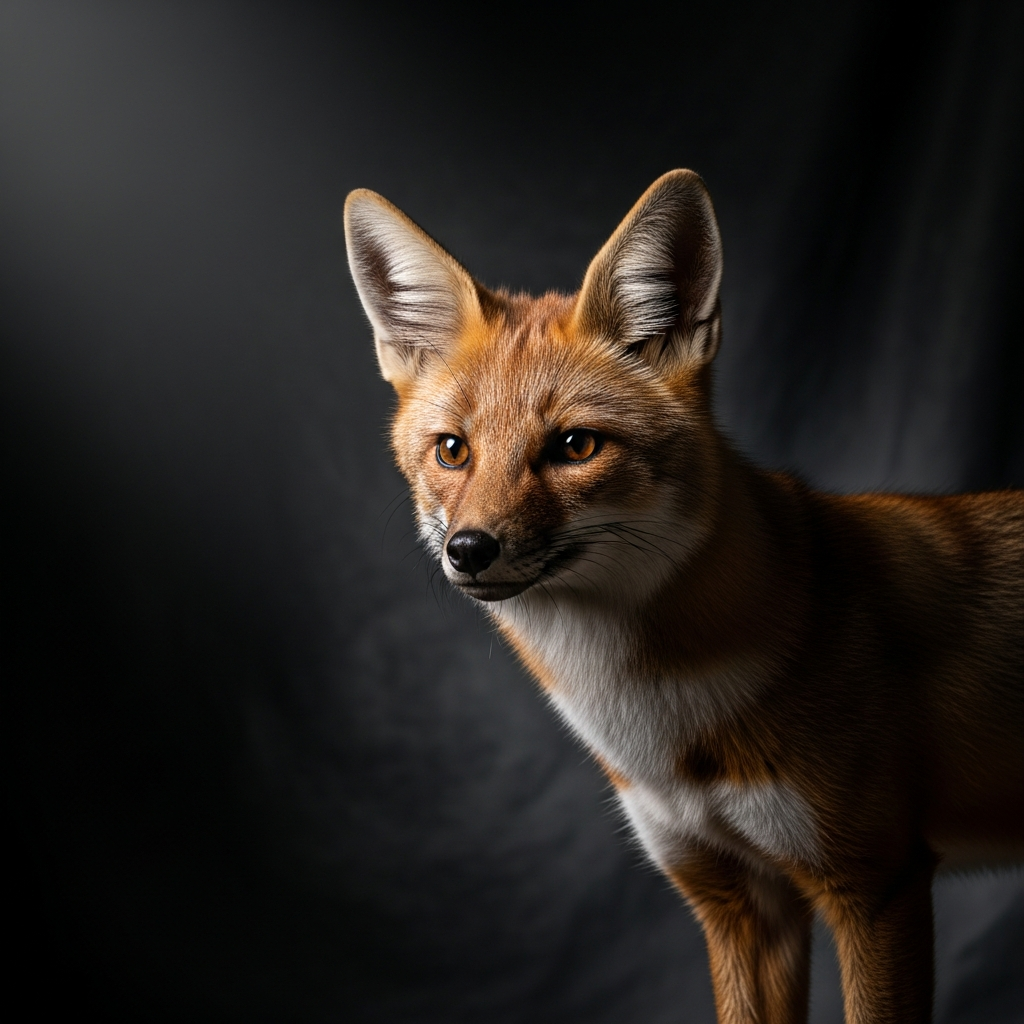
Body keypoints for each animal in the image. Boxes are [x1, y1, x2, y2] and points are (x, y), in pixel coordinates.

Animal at [343, 169, 1023, 1024]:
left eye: (575, 446)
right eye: (453, 451)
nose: (469, 550)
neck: (666, 727)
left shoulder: (875, 884)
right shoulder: (739, 903)